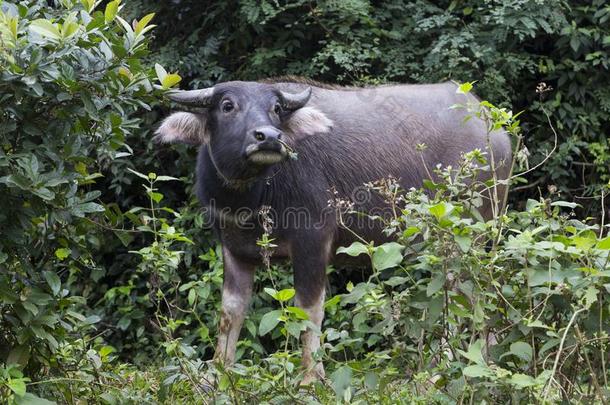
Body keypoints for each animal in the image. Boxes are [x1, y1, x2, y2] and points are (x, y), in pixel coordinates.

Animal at [154, 77, 510, 384]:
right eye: (227, 105)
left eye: (276, 108)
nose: (269, 137)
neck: (253, 198)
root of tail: (496, 131)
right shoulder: (234, 249)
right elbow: (231, 311)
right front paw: (218, 373)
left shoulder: (313, 242)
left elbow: (308, 310)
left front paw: (311, 378)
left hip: (468, 237)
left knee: (471, 294)